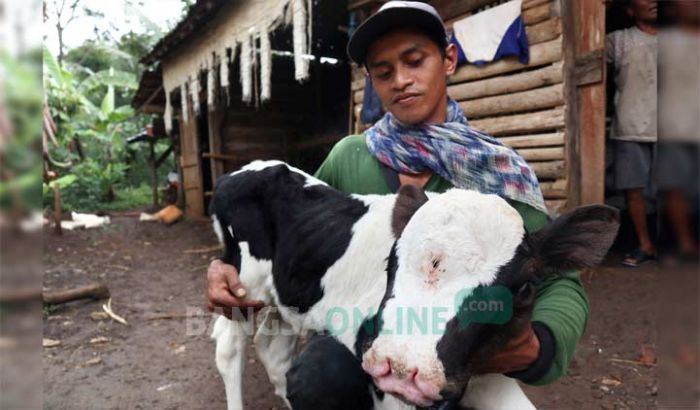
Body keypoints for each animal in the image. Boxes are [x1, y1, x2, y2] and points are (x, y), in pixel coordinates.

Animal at [208, 161, 616, 410]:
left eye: (525, 288)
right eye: (392, 260)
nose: (403, 369)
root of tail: (237, 173)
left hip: (285, 297)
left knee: (273, 348)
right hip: (244, 284)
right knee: (230, 348)